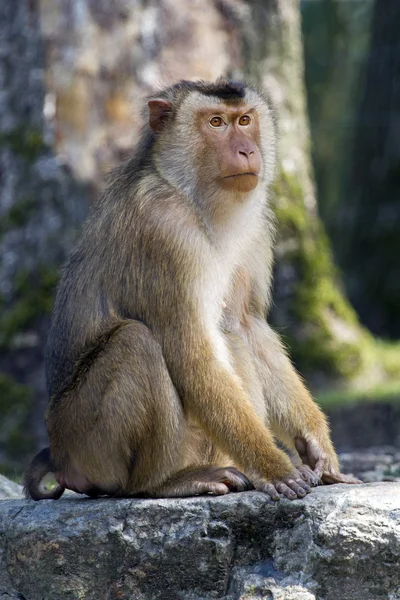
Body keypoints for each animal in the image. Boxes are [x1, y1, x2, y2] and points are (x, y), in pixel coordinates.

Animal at [24, 79, 360, 502]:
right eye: (216, 123)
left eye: (244, 120)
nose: (247, 150)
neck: (192, 196)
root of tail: (60, 456)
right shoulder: (164, 229)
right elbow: (188, 347)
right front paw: (276, 468)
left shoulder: (255, 228)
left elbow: (246, 325)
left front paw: (316, 445)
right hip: (86, 443)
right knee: (136, 342)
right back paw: (161, 482)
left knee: (230, 336)